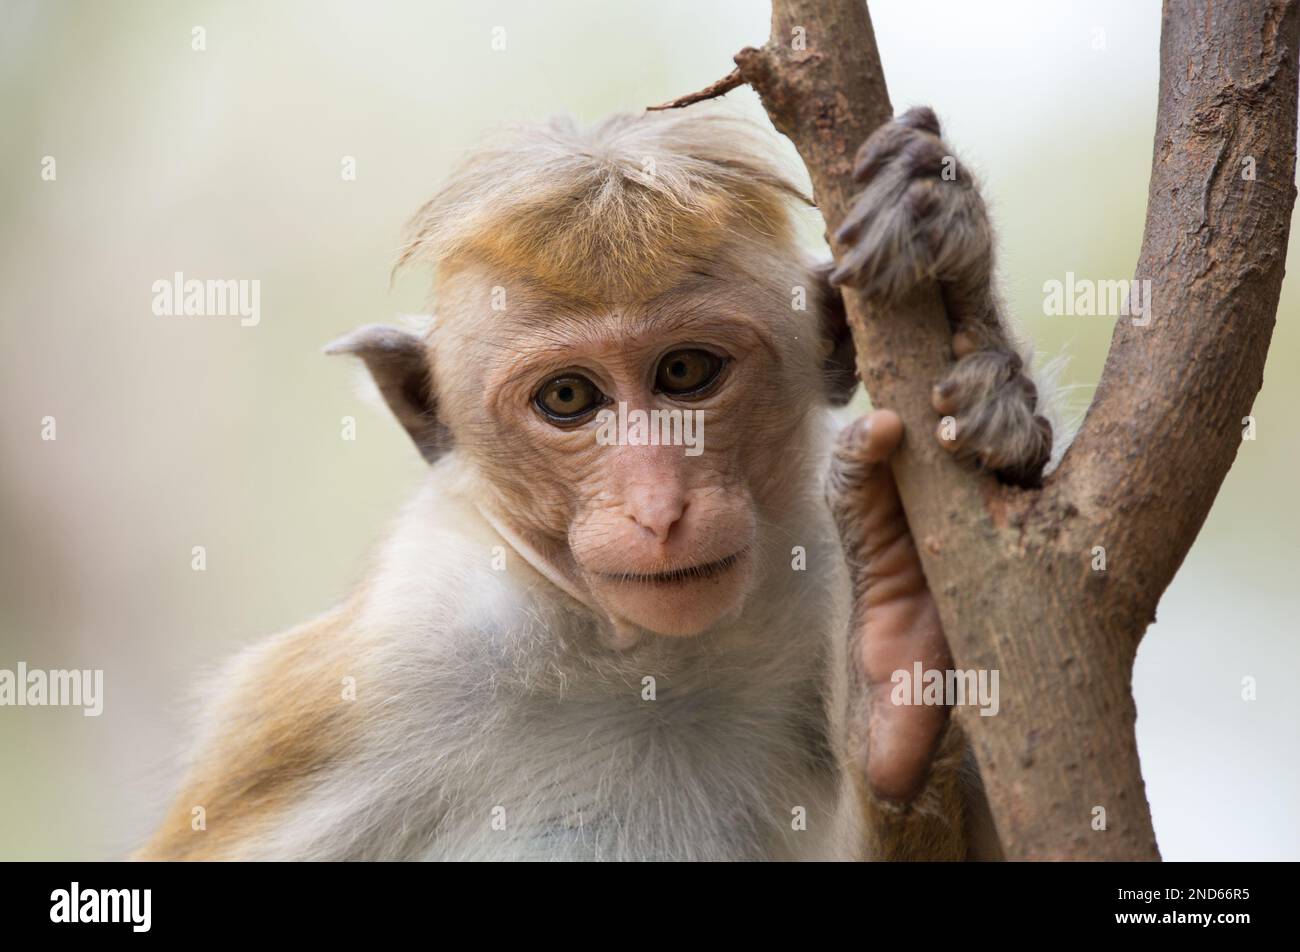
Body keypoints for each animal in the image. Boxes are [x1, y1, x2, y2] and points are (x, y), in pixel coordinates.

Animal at [137, 106, 1053, 861]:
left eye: (685, 372)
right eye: (569, 398)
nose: (658, 509)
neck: (652, 661)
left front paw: (972, 326)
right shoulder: (392, 663)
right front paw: (892, 679)